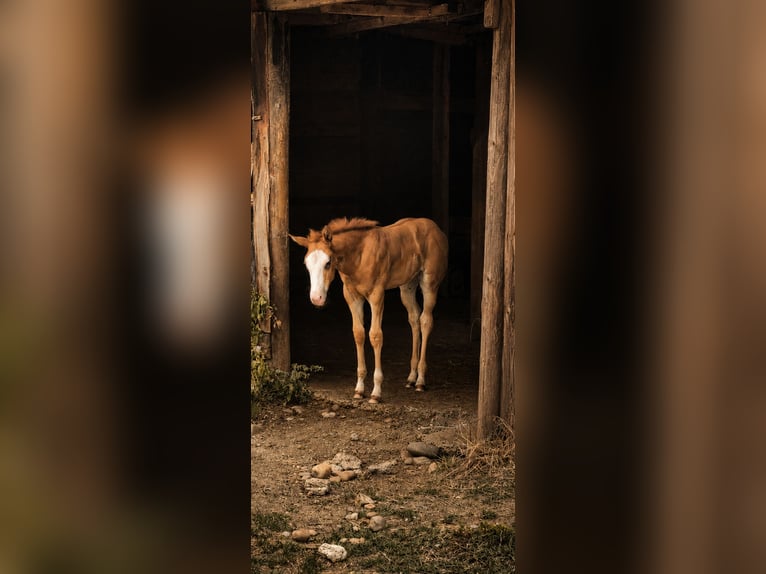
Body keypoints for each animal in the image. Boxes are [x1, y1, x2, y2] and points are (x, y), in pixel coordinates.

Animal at [290, 217, 448, 403]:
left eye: (328, 263)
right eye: (306, 264)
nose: (316, 298)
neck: (358, 256)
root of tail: (437, 229)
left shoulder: (376, 295)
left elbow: (375, 335)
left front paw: (376, 392)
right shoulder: (351, 296)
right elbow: (358, 334)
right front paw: (359, 389)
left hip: (429, 283)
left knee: (425, 320)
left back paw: (421, 381)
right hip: (407, 285)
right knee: (414, 318)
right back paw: (411, 378)